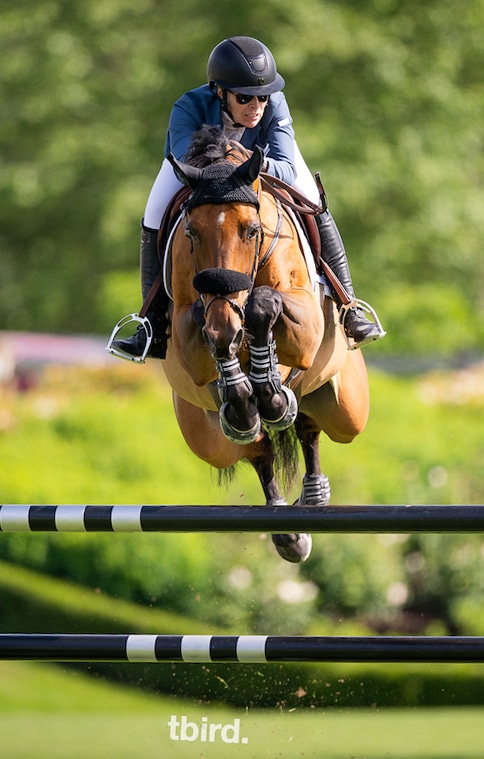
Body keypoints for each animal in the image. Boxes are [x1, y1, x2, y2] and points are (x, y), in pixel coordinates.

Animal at [160, 125, 370, 563]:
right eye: (191, 233)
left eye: (252, 230)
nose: (226, 310)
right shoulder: (191, 334)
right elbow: (215, 336)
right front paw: (244, 391)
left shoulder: (306, 325)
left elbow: (264, 304)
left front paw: (269, 387)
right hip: (208, 440)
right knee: (258, 449)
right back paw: (287, 528)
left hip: (347, 408)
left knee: (310, 426)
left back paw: (311, 495)